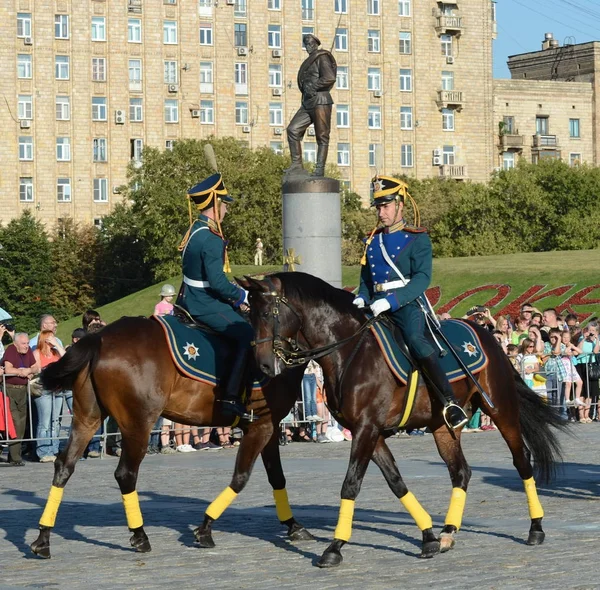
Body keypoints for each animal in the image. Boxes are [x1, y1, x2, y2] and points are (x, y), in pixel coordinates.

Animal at [31, 316, 314, 556]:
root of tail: (99, 337)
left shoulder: (268, 427)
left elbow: (276, 477)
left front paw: (293, 525)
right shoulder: (262, 427)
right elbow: (241, 478)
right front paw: (205, 529)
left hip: (87, 420)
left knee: (64, 466)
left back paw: (43, 538)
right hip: (138, 425)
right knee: (125, 474)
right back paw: (140, 535)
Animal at [239, 272, 568, 568]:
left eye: (267, 313)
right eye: (249, 315)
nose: (264, 365)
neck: (350, 352)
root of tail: (483, 333)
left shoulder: (367, 429)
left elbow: (351, 484)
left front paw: (334, 547)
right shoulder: (370, 432)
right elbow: (396, 482)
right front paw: (429, 538)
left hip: (502, 411)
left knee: (522, 462)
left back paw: (536, 527)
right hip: (443, 427)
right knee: (460, 471)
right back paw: (448, 532)